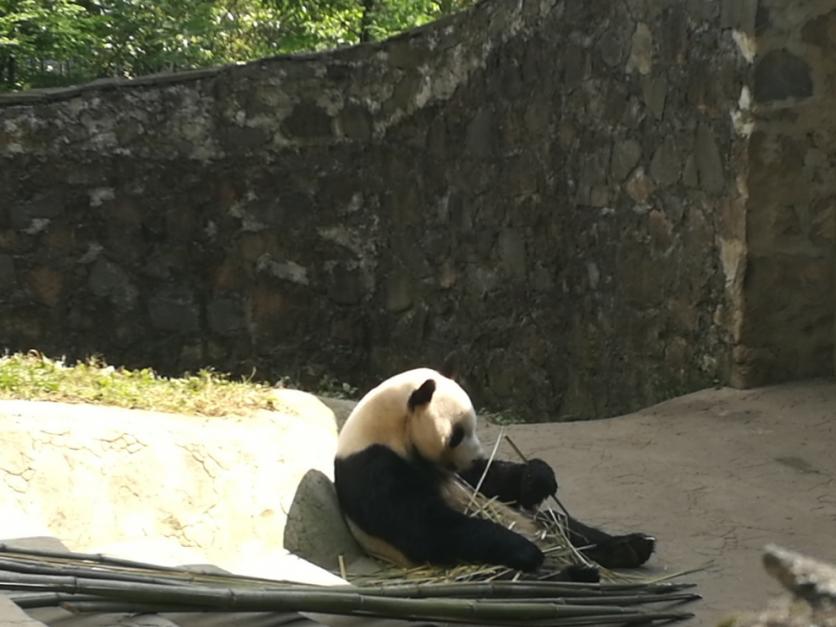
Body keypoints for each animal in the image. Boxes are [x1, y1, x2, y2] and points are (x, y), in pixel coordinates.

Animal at [334, 368, 652, 580]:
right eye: (458, 434)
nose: (476, 456)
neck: (387, 430)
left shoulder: (458, 471)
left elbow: (489, 480)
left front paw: (538, 478)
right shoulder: (373, 466)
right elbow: (425, 527)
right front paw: (525, 550)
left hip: (537, 521)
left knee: (563, 525)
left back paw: (630, 547)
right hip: (478, 567)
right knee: (517, 576)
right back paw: (574, 572)